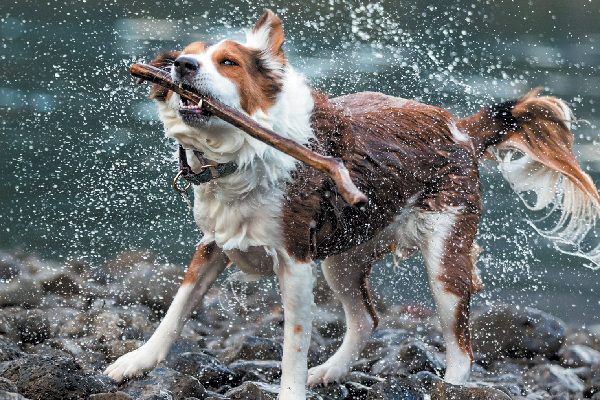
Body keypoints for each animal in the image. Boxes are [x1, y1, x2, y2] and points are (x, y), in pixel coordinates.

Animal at [104, 10, 600, 400]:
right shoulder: (213, 243)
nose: (182, 66)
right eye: (183, 56)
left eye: (228, 62)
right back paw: (329, 371)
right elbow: (177, 308)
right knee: (366, 320)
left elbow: (293, 343)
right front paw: (137, 361)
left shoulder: (295, 262)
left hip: (444, 259)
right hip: (342, 257)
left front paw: (290, 391)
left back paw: (450, 385)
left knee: (461, 347)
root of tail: (460, 129)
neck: (245, 156)